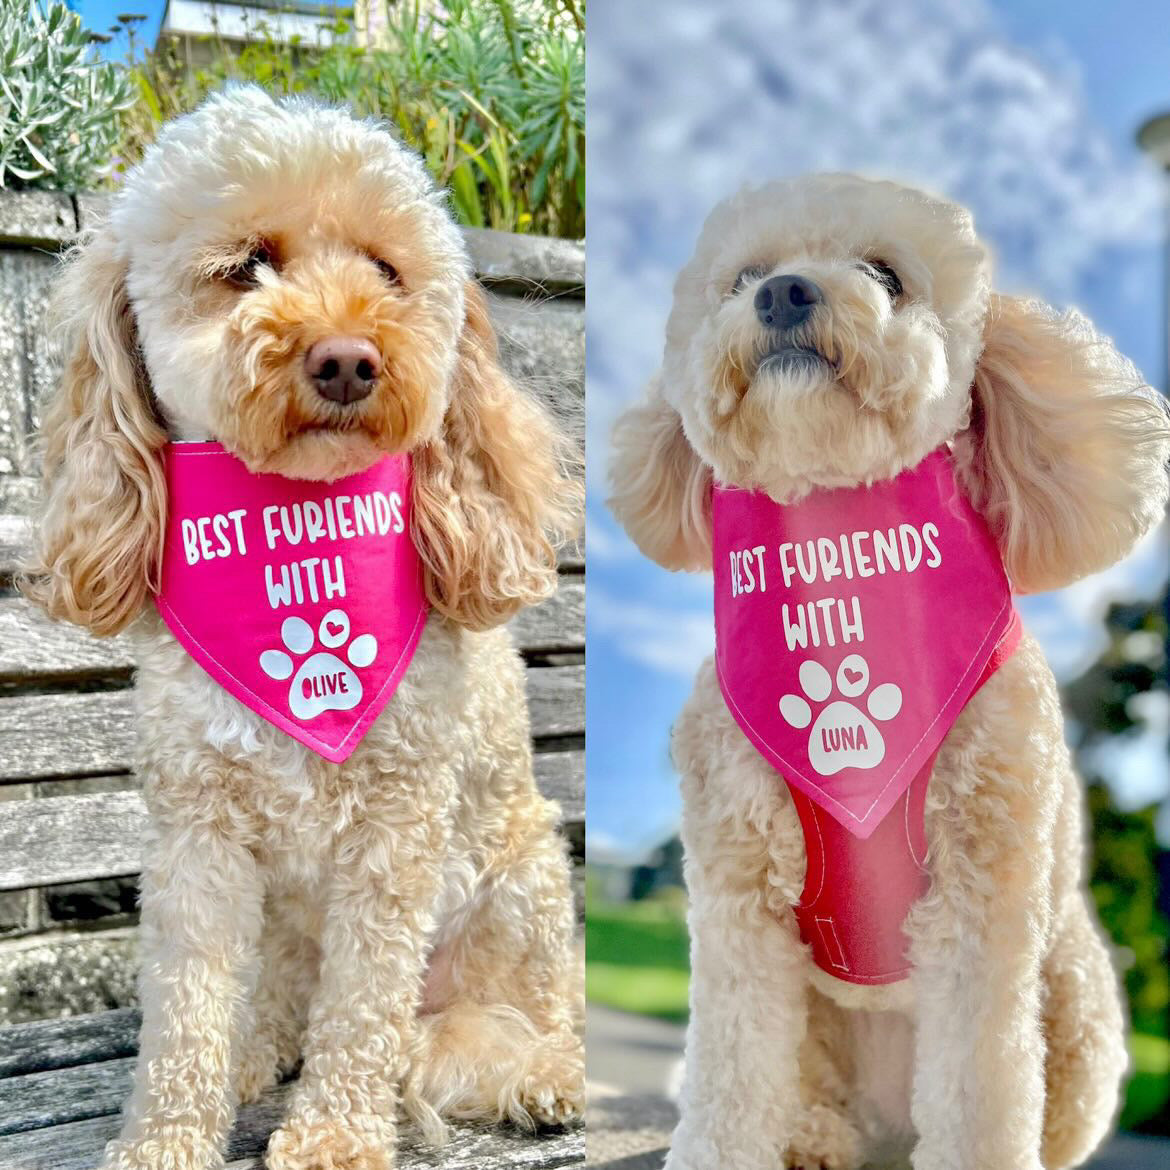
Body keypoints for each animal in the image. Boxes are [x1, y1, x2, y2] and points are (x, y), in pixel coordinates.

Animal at [19, 88, 585, 1170]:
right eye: (246, 265)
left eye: (386, 270)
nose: (348, 360)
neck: (295, 526)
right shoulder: (197, 832)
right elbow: (187, 1012)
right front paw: (166, 1139)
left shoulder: (396, 831)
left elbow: (363, 1011)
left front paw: (333, 1138)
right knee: (280, 996)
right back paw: (261, 1048)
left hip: (521, 877)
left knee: (511, 1019)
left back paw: (538, 1073)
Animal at [608, 175, 1165, 1170]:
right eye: (740, 277)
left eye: (885, 274)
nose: (784, 292)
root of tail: (889, 1129)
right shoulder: (738, 906)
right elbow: (730, 1076)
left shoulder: (983, 901)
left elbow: (983, 1091)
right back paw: (814, 1137)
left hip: (1077, 994)